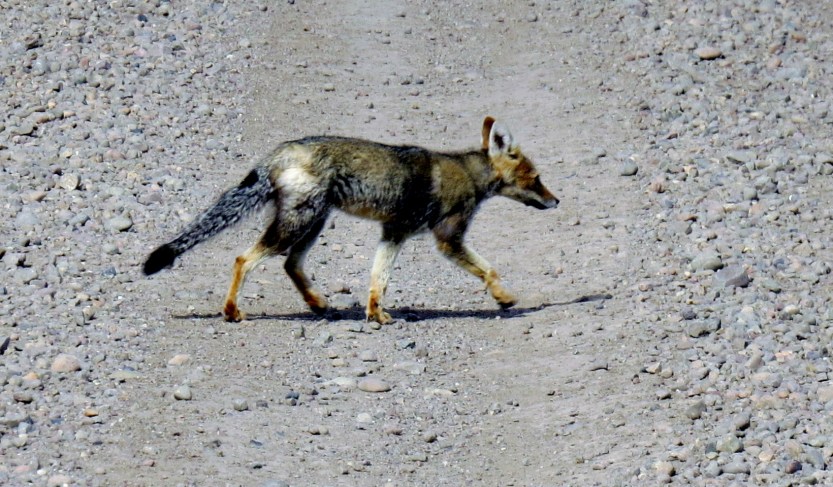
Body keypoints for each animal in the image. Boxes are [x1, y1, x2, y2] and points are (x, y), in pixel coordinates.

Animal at [143, 116, 559, 324]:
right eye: (537, 178)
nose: (556, 200)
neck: (469, 173)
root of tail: (279, 152)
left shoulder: (394, 232)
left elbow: (378, 278)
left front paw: (375, 314)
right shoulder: (447, 237)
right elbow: (488, 269)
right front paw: (504, 297)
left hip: (313, 222)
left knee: (290, 264)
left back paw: (318, 304)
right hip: (298, 223)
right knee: (244, 258)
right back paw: (231, 311)